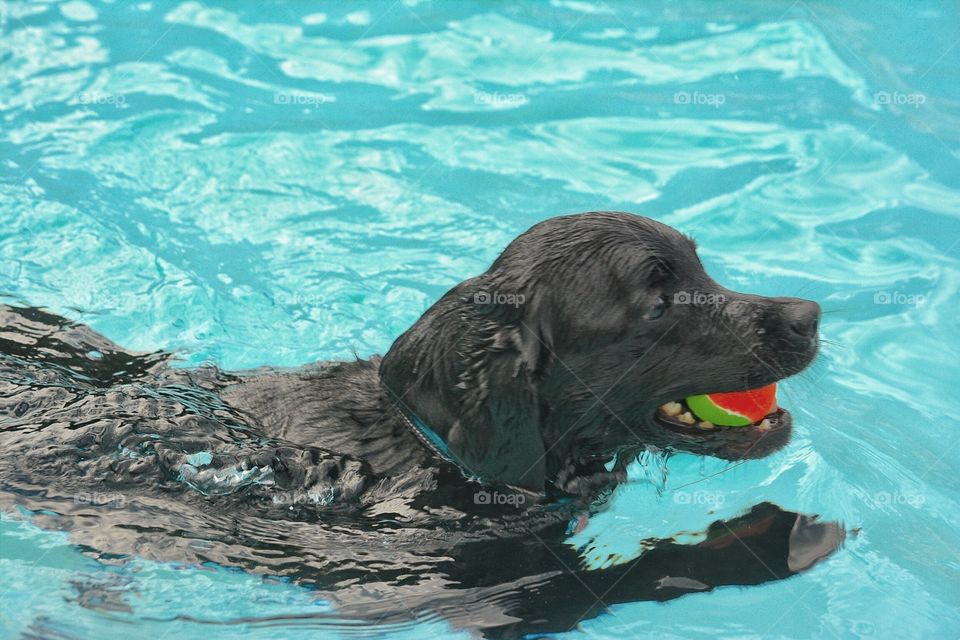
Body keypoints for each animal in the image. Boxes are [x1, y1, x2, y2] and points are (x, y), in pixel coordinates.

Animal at [0, 212, 836, 636]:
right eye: (658, 300)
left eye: (702, 266)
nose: (809, 315)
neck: (430, 453)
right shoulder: (473, 590)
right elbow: (627, 578)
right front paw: (771, 541)